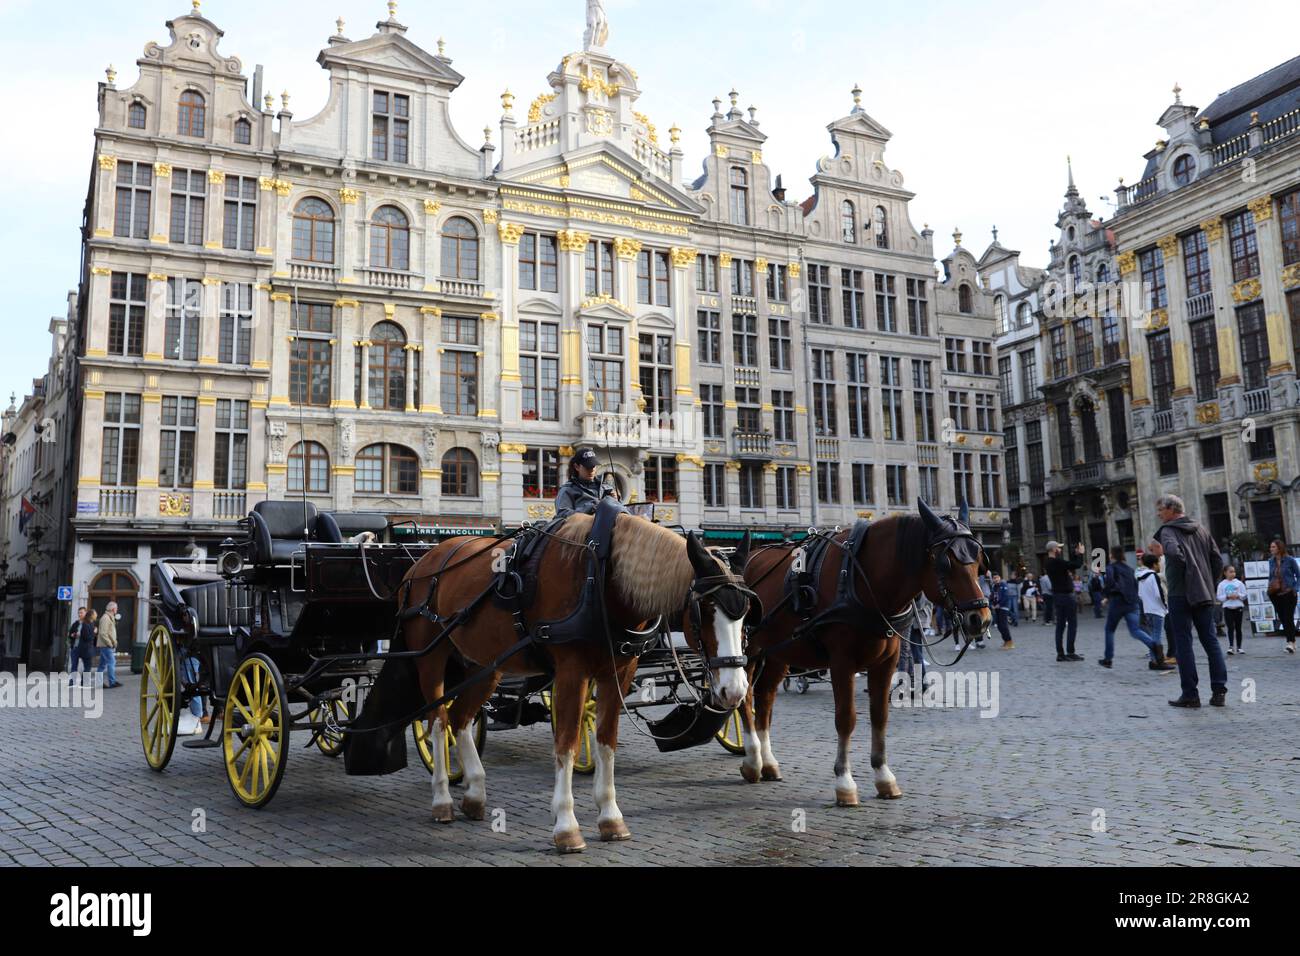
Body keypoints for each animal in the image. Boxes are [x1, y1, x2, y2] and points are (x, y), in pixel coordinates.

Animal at [392, 512, 754, 858]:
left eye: (746, 612)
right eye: (704, 609)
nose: (734, 691)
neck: (602, 578)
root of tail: (421, 563)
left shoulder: (618, 672)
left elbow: (606, 742)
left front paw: (611, 819)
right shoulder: (571, 673)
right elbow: (567, 744)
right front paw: (567, 828)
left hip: (483, 664)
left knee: (461, 719)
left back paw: (475, 795)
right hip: (431, 658)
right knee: (437, 722)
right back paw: (442, 800)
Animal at [733, 502, 982, 806]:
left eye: (979, 558)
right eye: (946, 562)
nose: (980, 618)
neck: (863, 578)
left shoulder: (886, 662)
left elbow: (880, 716)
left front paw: (884, 778)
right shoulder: (842, 662)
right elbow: (846, 718)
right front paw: (844, 783)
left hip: (779, 652)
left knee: (765, 698)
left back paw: (768, 763)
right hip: (747, 649)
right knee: (744, 697)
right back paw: (752, 761)